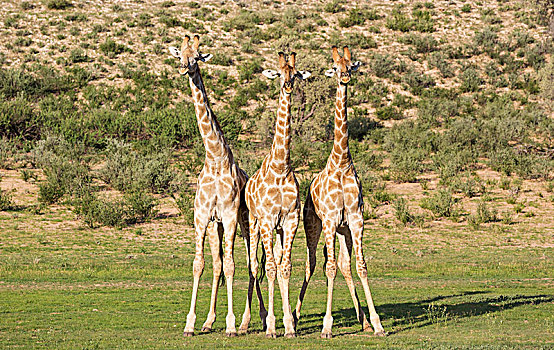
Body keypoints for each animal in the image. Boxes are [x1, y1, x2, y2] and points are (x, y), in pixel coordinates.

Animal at [168, 34, 266, 336]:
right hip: (217, 227)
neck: (215, 159)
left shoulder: (231, 216)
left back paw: (253, 319)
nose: (184, 67)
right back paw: (211, 320)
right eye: (180, 54)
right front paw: (192, 323)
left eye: (197, 56)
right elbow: (201, 264)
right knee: (218, 264)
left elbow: (234, 266)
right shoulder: (203, 218)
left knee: (253, 264)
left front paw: (231, 324)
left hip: (249, 225)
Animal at [294, 46, 384, 340]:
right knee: (312, 264)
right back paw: (294, 318)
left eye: (351, 65)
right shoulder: (331, 220)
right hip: (313, 225)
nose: (344, 77)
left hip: (344, 231)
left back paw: (364, 321)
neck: (342, 161)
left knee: (345, 265)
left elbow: (360, 267)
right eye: (334, 66)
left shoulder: (355, 220)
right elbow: (330, 269)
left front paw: (377, 324)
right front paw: (326, 327)